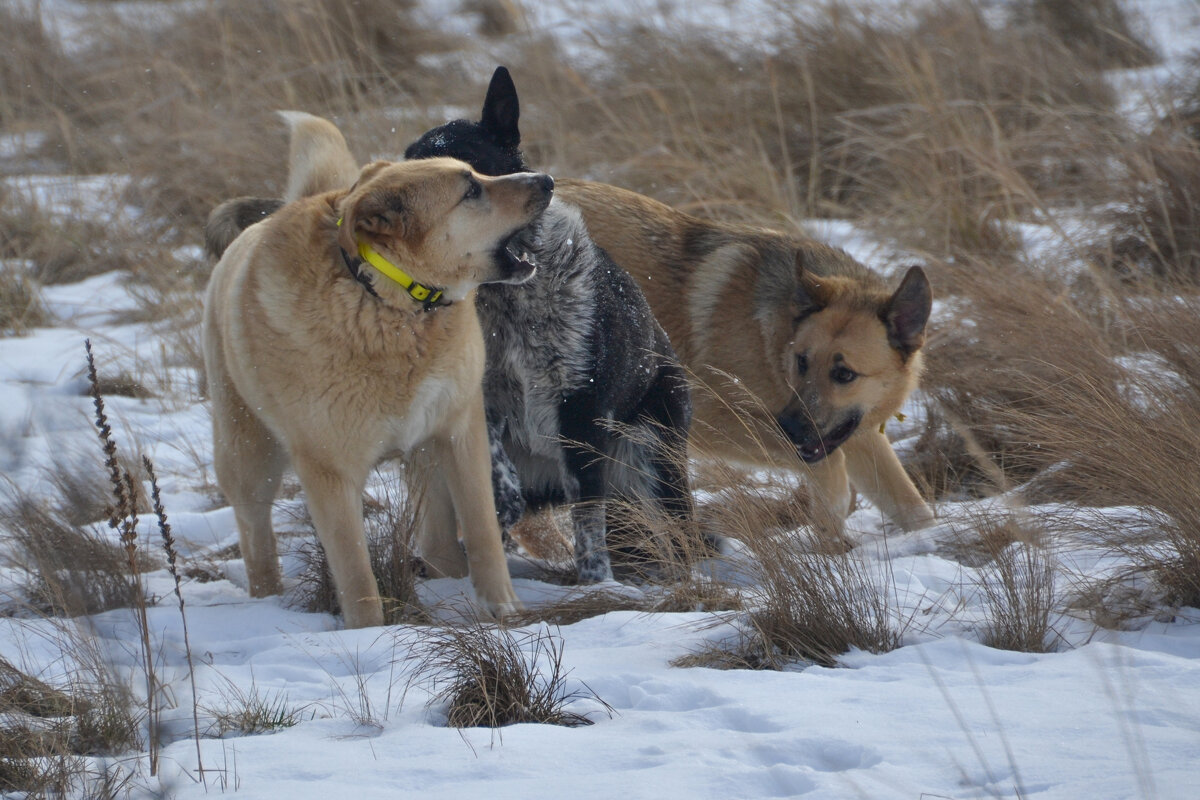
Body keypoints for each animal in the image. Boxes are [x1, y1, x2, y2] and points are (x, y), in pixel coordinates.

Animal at [202, 125, 552, 628]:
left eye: (477, 173)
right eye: (471, 190)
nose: (547, 180)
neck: (388, 302)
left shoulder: (459, 432)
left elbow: (483, 530)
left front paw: (503, 608)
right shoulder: (330, 472)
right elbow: (355, 573)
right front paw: (366, 635)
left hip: (423, 456)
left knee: (439, 541)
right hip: (248, 457)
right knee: (256, 536)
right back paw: (265, 601)